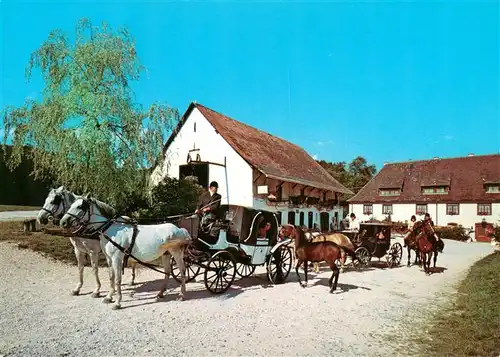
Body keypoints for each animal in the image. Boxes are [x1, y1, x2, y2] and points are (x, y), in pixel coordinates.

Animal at [59, 195, 191, 308]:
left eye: (80, 206)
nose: (63, 222)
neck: (111, 230)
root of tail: (180, 229)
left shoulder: (117, 258)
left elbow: (118, 280)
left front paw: (117, 302)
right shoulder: (109, 258)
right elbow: (111, 277)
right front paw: (108, 297)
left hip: (176, 253)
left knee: (182, 271)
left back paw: (182, 295)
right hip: (166, 254)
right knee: (167, 272)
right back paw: (160, 294)